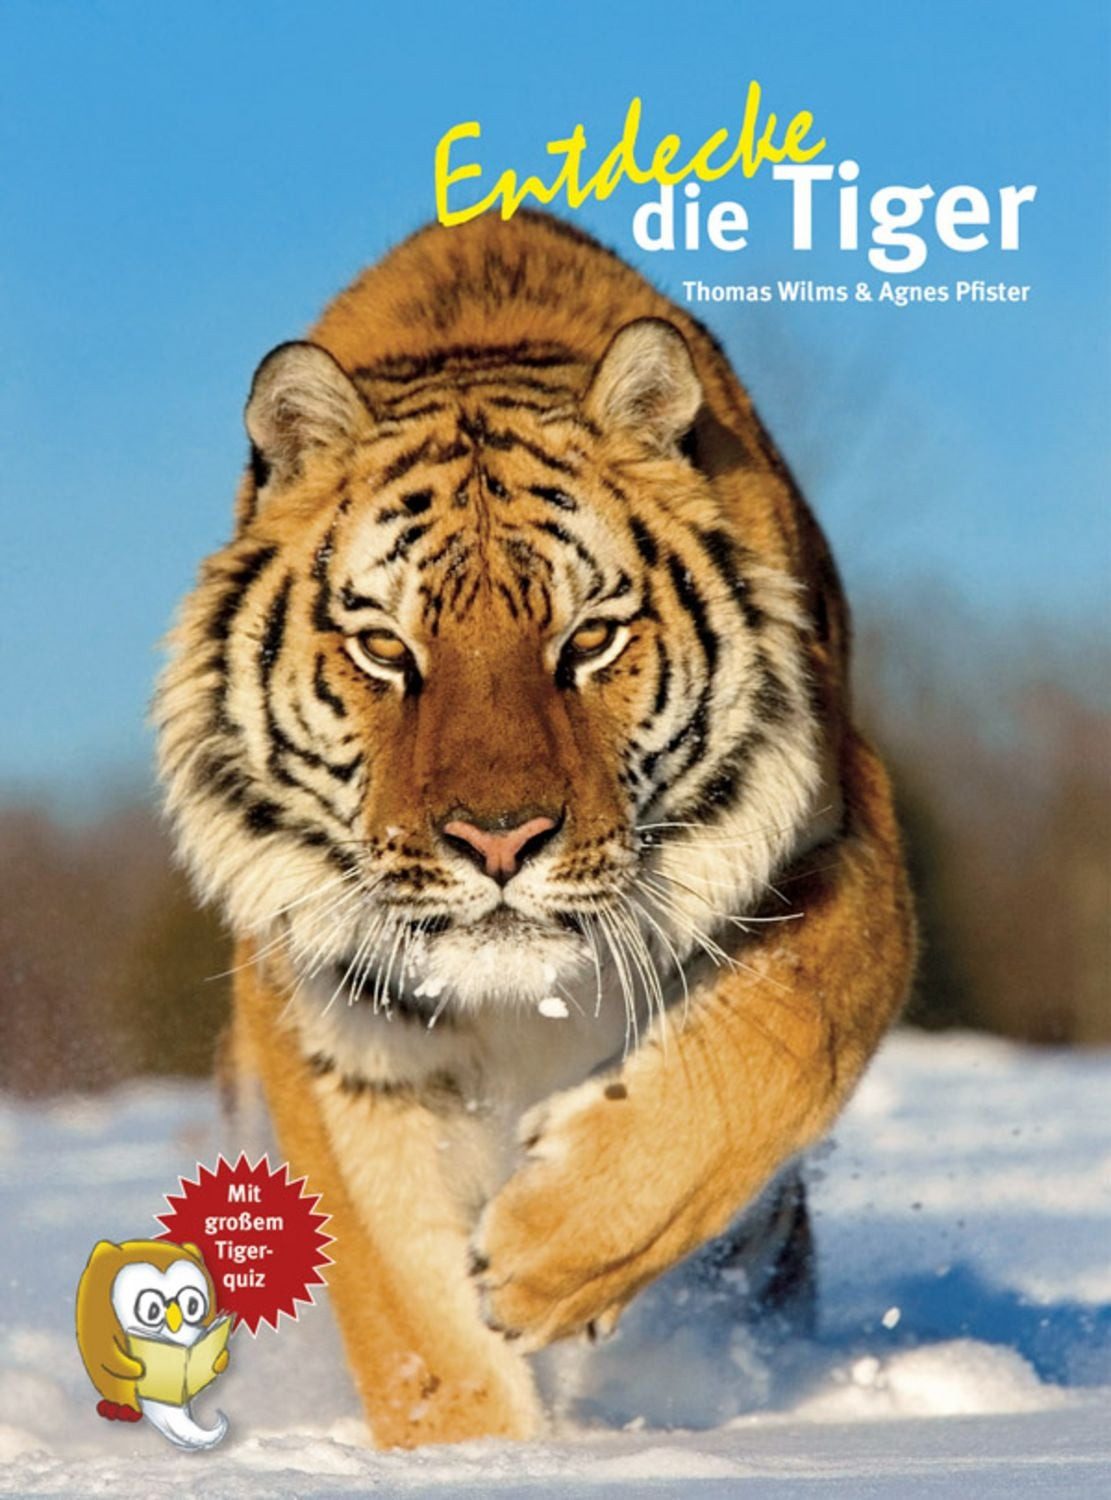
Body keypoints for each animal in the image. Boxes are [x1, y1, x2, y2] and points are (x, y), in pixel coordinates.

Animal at [155, 209, 915, 1449]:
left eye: (589, 640)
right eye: (385, 650)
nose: (499, 842)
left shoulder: (845, 832)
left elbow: (782, 1032)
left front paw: (542, 1254)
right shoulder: (320, 993)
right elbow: (406, 1306)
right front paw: (472, 1451)